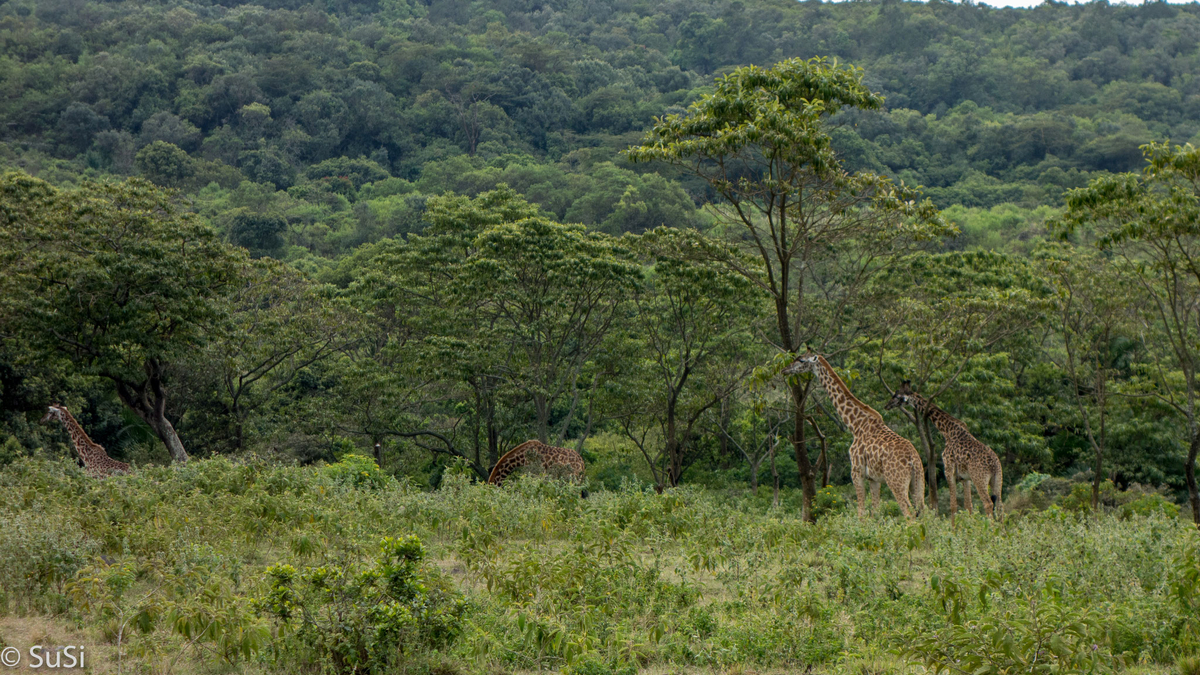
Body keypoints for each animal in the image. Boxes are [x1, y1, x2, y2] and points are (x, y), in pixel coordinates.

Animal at [777, 348, 926, 516]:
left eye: (801, 360)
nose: (784, 369)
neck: (855, 425)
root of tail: (913, 460)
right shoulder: (874, 478)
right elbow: (875, 512)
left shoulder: (856, 471)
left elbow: (861, 512)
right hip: (918, 482)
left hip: (896, 482)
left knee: (909, 514)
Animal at [883, 381, 1003, 516]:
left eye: (896, 396)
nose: (886, 405)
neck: (947, 430)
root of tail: (994, 465)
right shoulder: (965, 477)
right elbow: (968, 506)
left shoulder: (948, 470)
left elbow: (953, 506)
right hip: (997, 479)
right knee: (1000, 505)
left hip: (979, 479)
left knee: (988, 504)